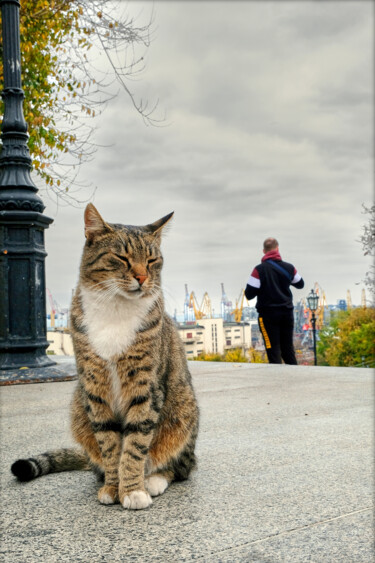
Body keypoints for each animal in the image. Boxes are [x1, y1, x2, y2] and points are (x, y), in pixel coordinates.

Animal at [11, 204, 200, 512]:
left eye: (152, 260)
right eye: (122, 257)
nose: (142, 278)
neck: (116, 308)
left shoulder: (145, 386)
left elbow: (135, 445)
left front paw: (133, 490)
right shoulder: (94, 387)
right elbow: (111, 445)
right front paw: (114, 487)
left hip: (184, 410)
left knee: (183, 466)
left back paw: (155, 479)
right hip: (79, 408)